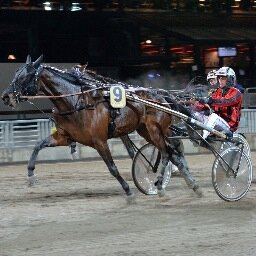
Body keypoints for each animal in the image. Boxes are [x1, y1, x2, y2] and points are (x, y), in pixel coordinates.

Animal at [2, 55, 202, 200]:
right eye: (15, 75)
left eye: (25, 77)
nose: (6, 96)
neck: (76, 102)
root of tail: (161, 95)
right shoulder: (65, 137)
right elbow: (38, 145)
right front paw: (30, 175)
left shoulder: (99, 141)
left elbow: (112, 167)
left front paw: (128, 192)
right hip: (146, 130)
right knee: (173, 153)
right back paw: (193, 185)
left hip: (155, 130)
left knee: (168, 153)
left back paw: (160, 185)